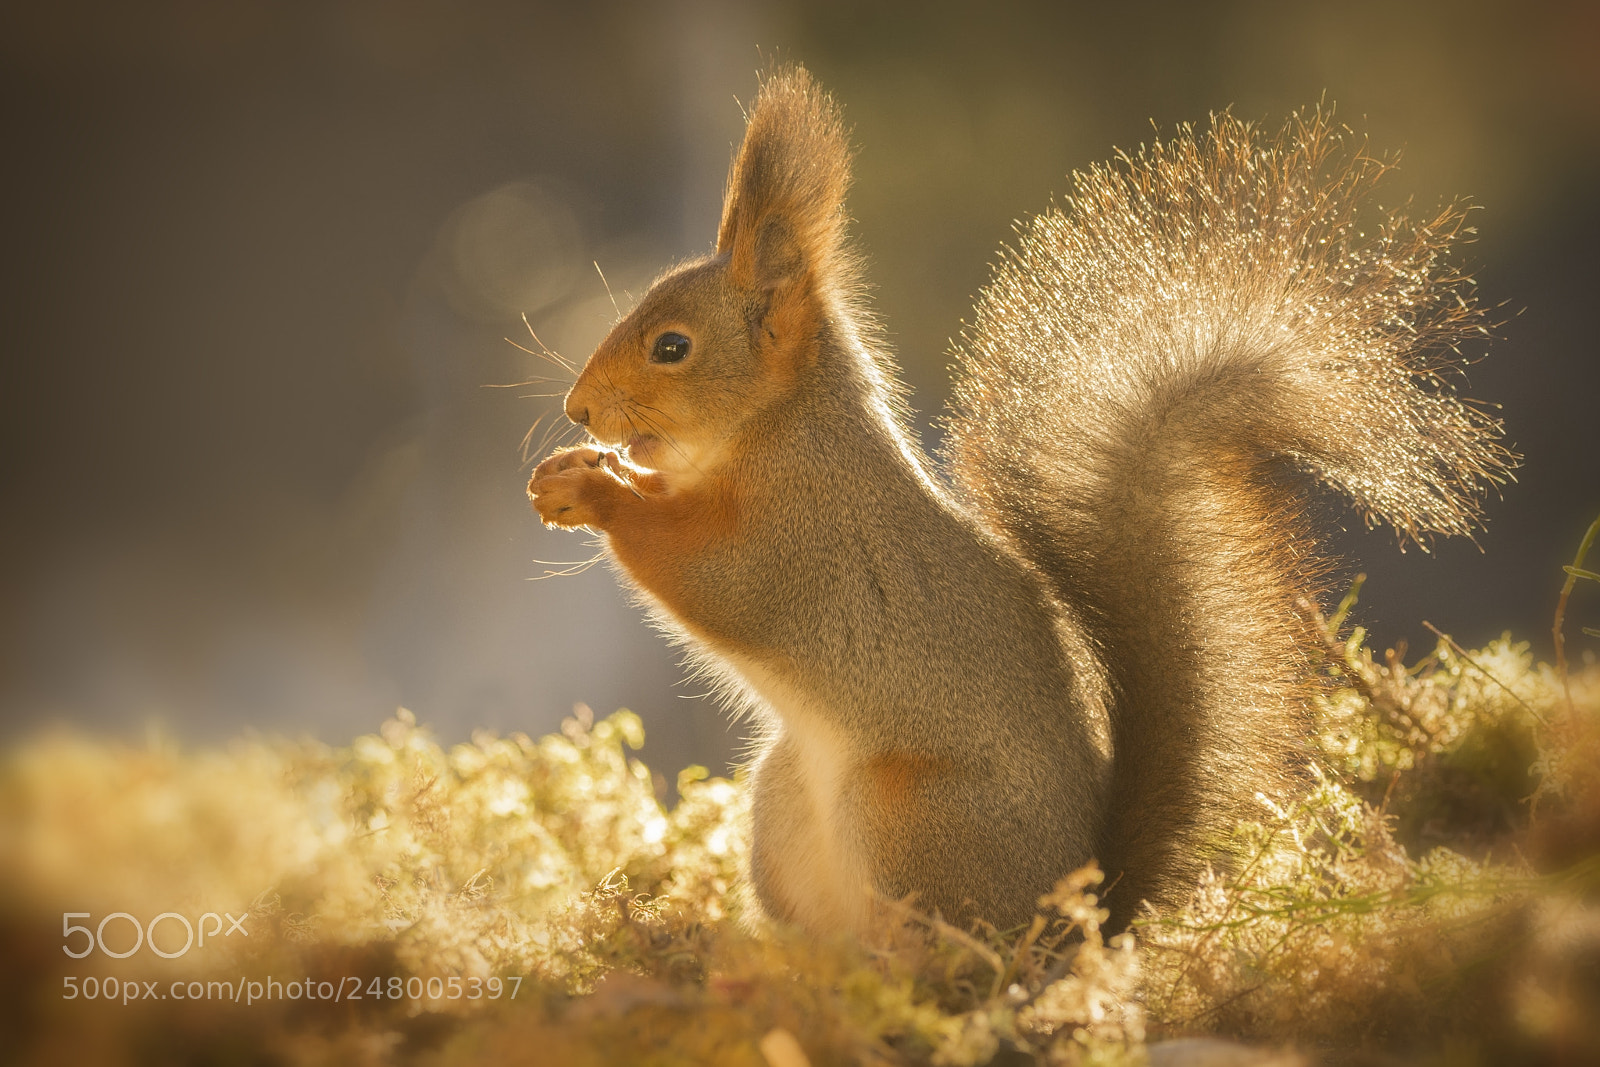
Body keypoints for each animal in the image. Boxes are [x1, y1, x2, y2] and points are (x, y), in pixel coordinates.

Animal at [528, 66, 1510, 934]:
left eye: (672, 346)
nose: (578, 409)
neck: (781, 431)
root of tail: (1076, 919)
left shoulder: (801, 541)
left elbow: (705, 572)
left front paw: (595, 488)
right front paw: (571, 468)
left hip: (910, 819)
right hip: (782, 806)